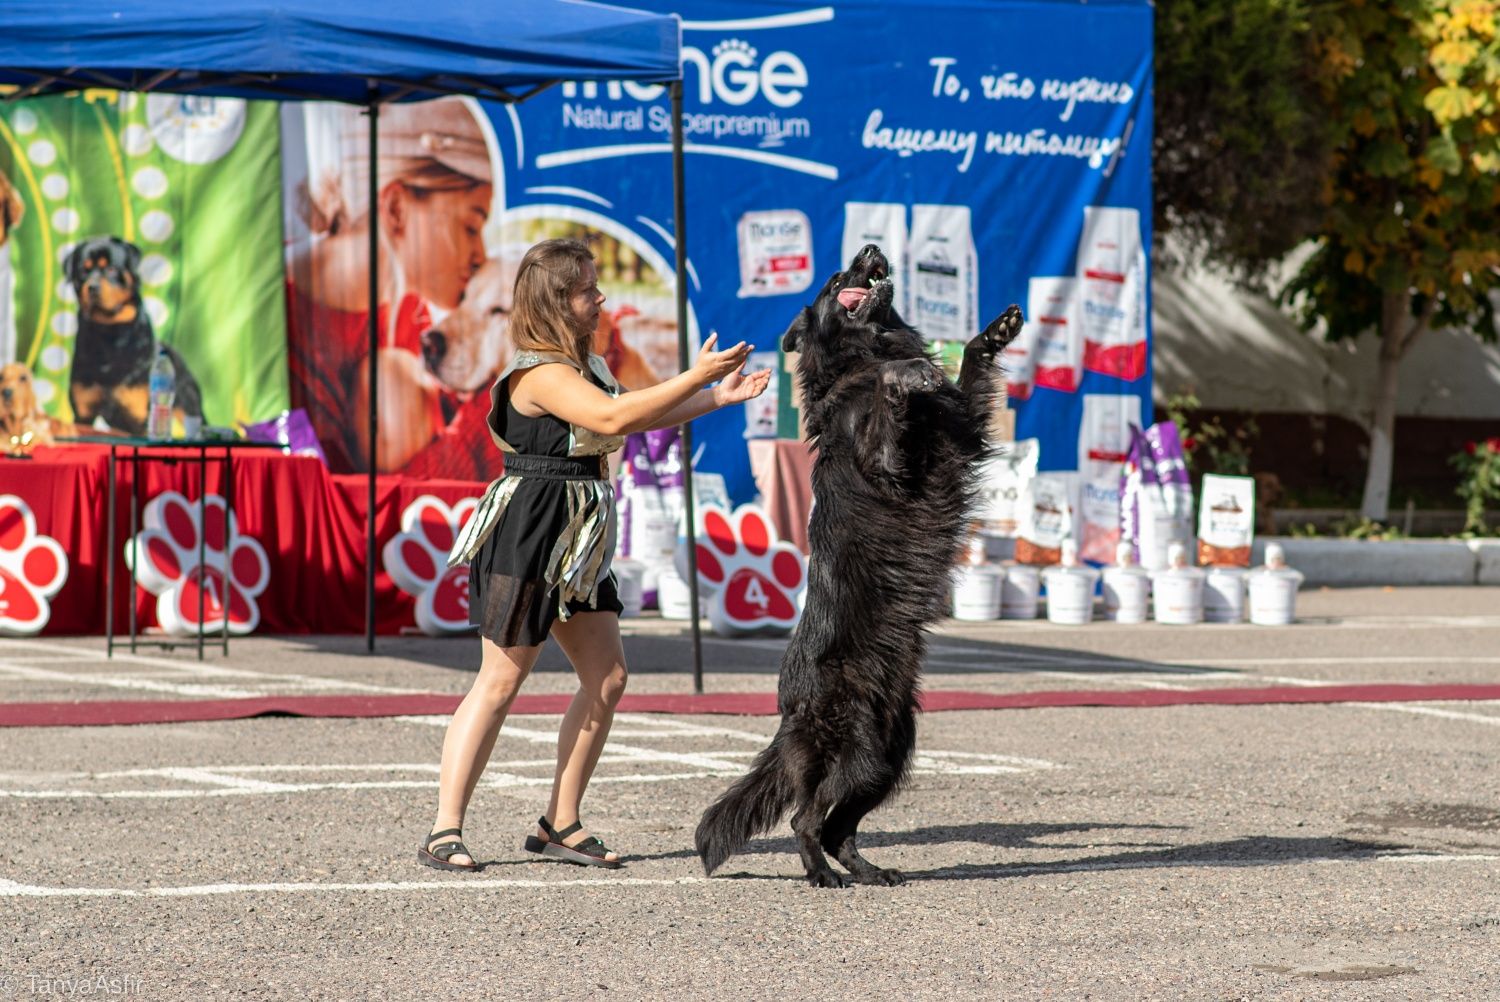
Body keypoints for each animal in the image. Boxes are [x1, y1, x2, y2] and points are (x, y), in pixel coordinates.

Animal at [67, 237, 204, 435]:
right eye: (83, 271)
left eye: (111, 269)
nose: (92, 287)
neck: (109, 336)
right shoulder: (83, 415)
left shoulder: (140, 418)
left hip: (189, 406)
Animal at [696, 246, 1026, 888]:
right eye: (834, 281)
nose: (870, 248)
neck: (867, 356)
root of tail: (789, 713)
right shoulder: (885, 461)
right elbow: (890, 403)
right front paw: (907, 376)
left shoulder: (962, 426)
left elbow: (970, 370)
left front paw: (995, 332)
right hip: (858, 748)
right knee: (805, 818)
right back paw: (822, 876)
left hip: (891, 753)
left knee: (837, 827)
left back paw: (867, 871)